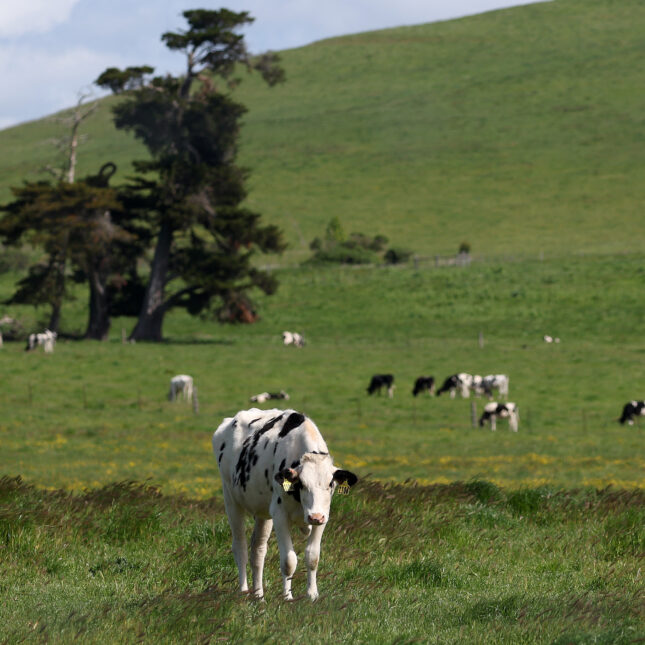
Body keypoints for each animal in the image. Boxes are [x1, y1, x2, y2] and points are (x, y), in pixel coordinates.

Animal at [214, 408, 360, 600]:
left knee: (258, 551)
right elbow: (289, 561)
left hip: (263, 513)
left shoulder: (323, 515)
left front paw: (312, 595)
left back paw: (259, 596)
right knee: (240, 547)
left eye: (331, 484)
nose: (314, 517)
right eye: (302, 484)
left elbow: (313, 557)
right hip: (231, 500)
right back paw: (244, 592)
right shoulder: (280, 515)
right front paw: (287, 597)